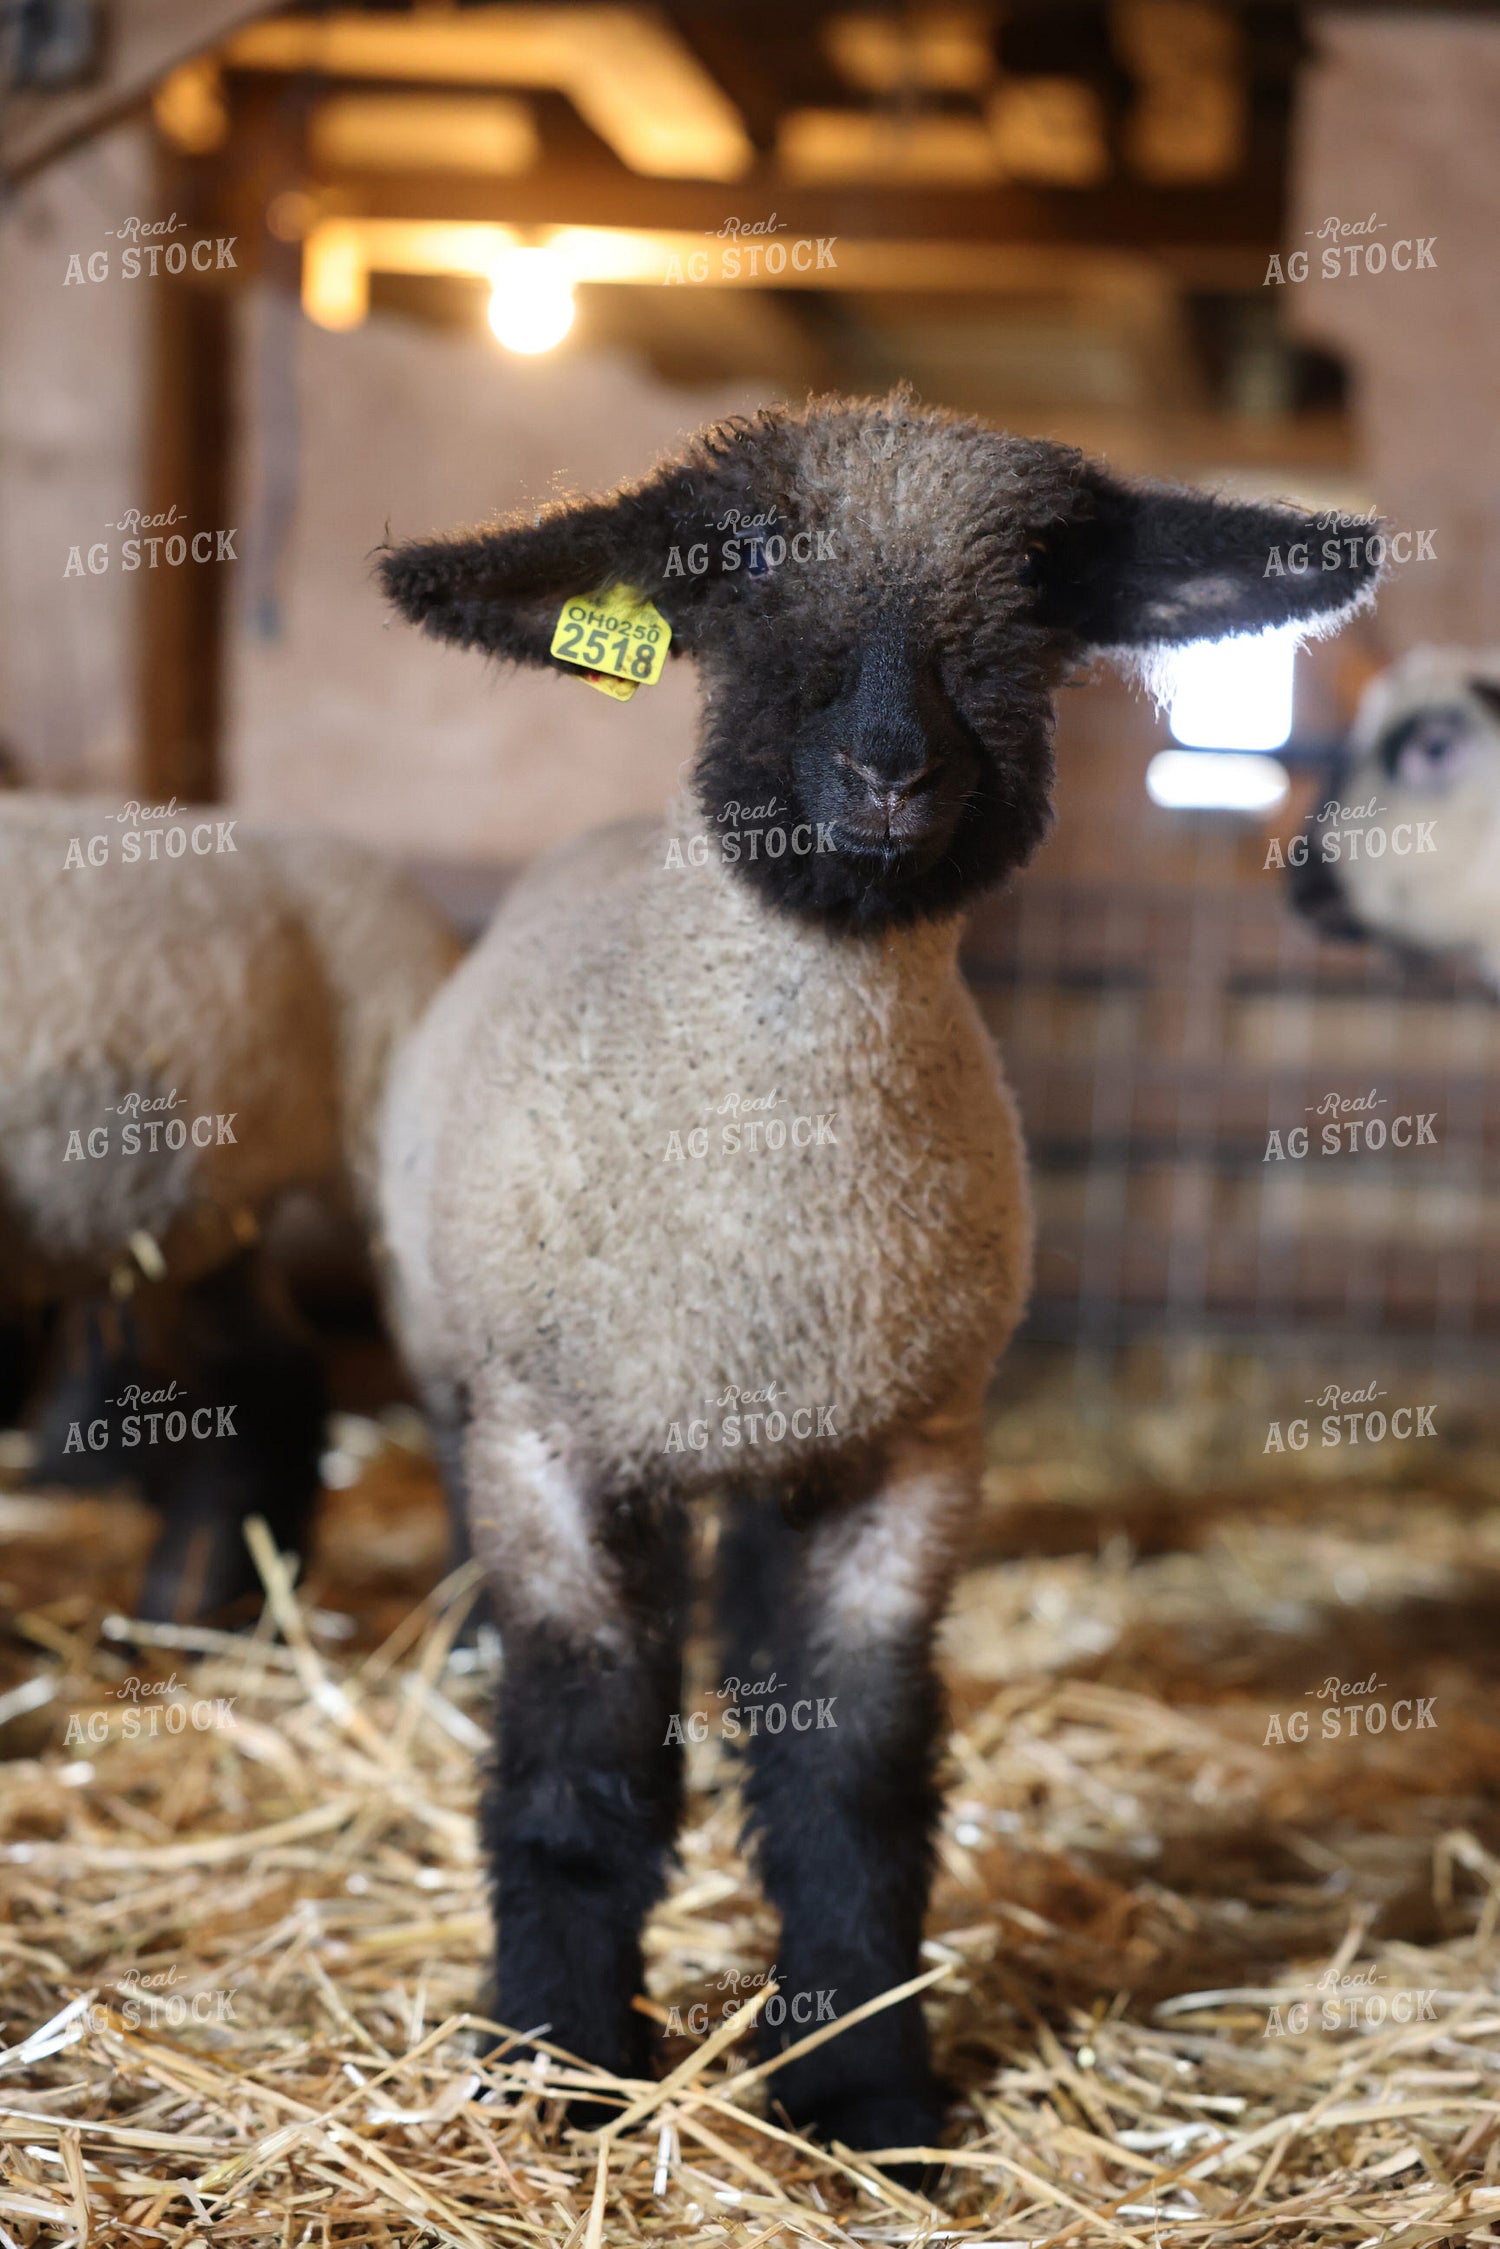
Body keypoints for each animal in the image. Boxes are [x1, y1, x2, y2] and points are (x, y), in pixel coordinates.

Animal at [377, 391, 1379, 2156]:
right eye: (733, 564)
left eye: (1044, 583)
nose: (890, 769)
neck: (774, 1221)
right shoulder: (550, 1443)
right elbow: (579, 1765)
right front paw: (558, 2065)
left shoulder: (904, 1453)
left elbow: (850, 1776)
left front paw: (864, 2091)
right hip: (459, 1371)